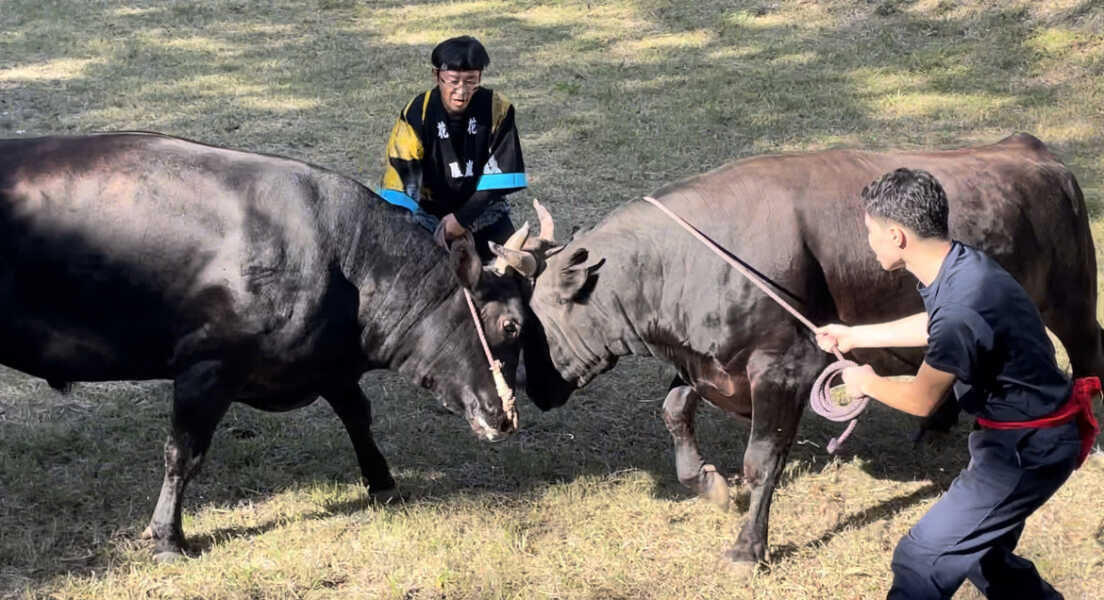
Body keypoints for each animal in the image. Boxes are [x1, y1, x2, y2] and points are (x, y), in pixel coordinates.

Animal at [0, 133, 527, 561]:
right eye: (512, 325)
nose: (505, 416)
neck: (341, 258)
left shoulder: (329, 366)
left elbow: (358, 416)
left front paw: (382, 482)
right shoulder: (208, 368)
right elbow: (183, 453)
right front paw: (168, 537)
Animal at [518, 133, 1104, 570]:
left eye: (535, 321)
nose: (531, 391)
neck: (684, 263)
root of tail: (1032, 150)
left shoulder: (784, 368)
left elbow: (761, 461)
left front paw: (747, 549)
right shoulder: (707, 362)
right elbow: (674, 411)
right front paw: (707, 483)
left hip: (1070, 297)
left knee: (1088, 351)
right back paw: (936, 425)